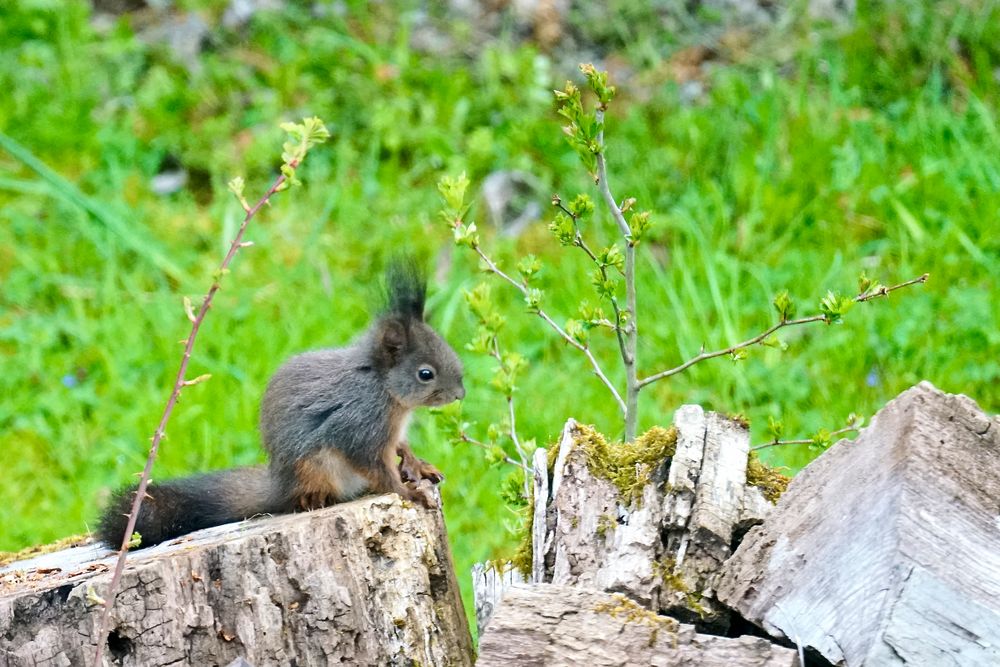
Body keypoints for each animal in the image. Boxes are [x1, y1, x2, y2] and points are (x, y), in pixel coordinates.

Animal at [97, 260, 464, 548]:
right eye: (426, 373)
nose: (460, 394)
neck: (387, 392)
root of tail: (280, 485)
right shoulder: (360, 425)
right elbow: (377, 468)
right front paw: (407, 492)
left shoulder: (392, 431)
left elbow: (402, 447)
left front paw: (417, 466)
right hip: (313, 468)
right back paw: (316, 499)